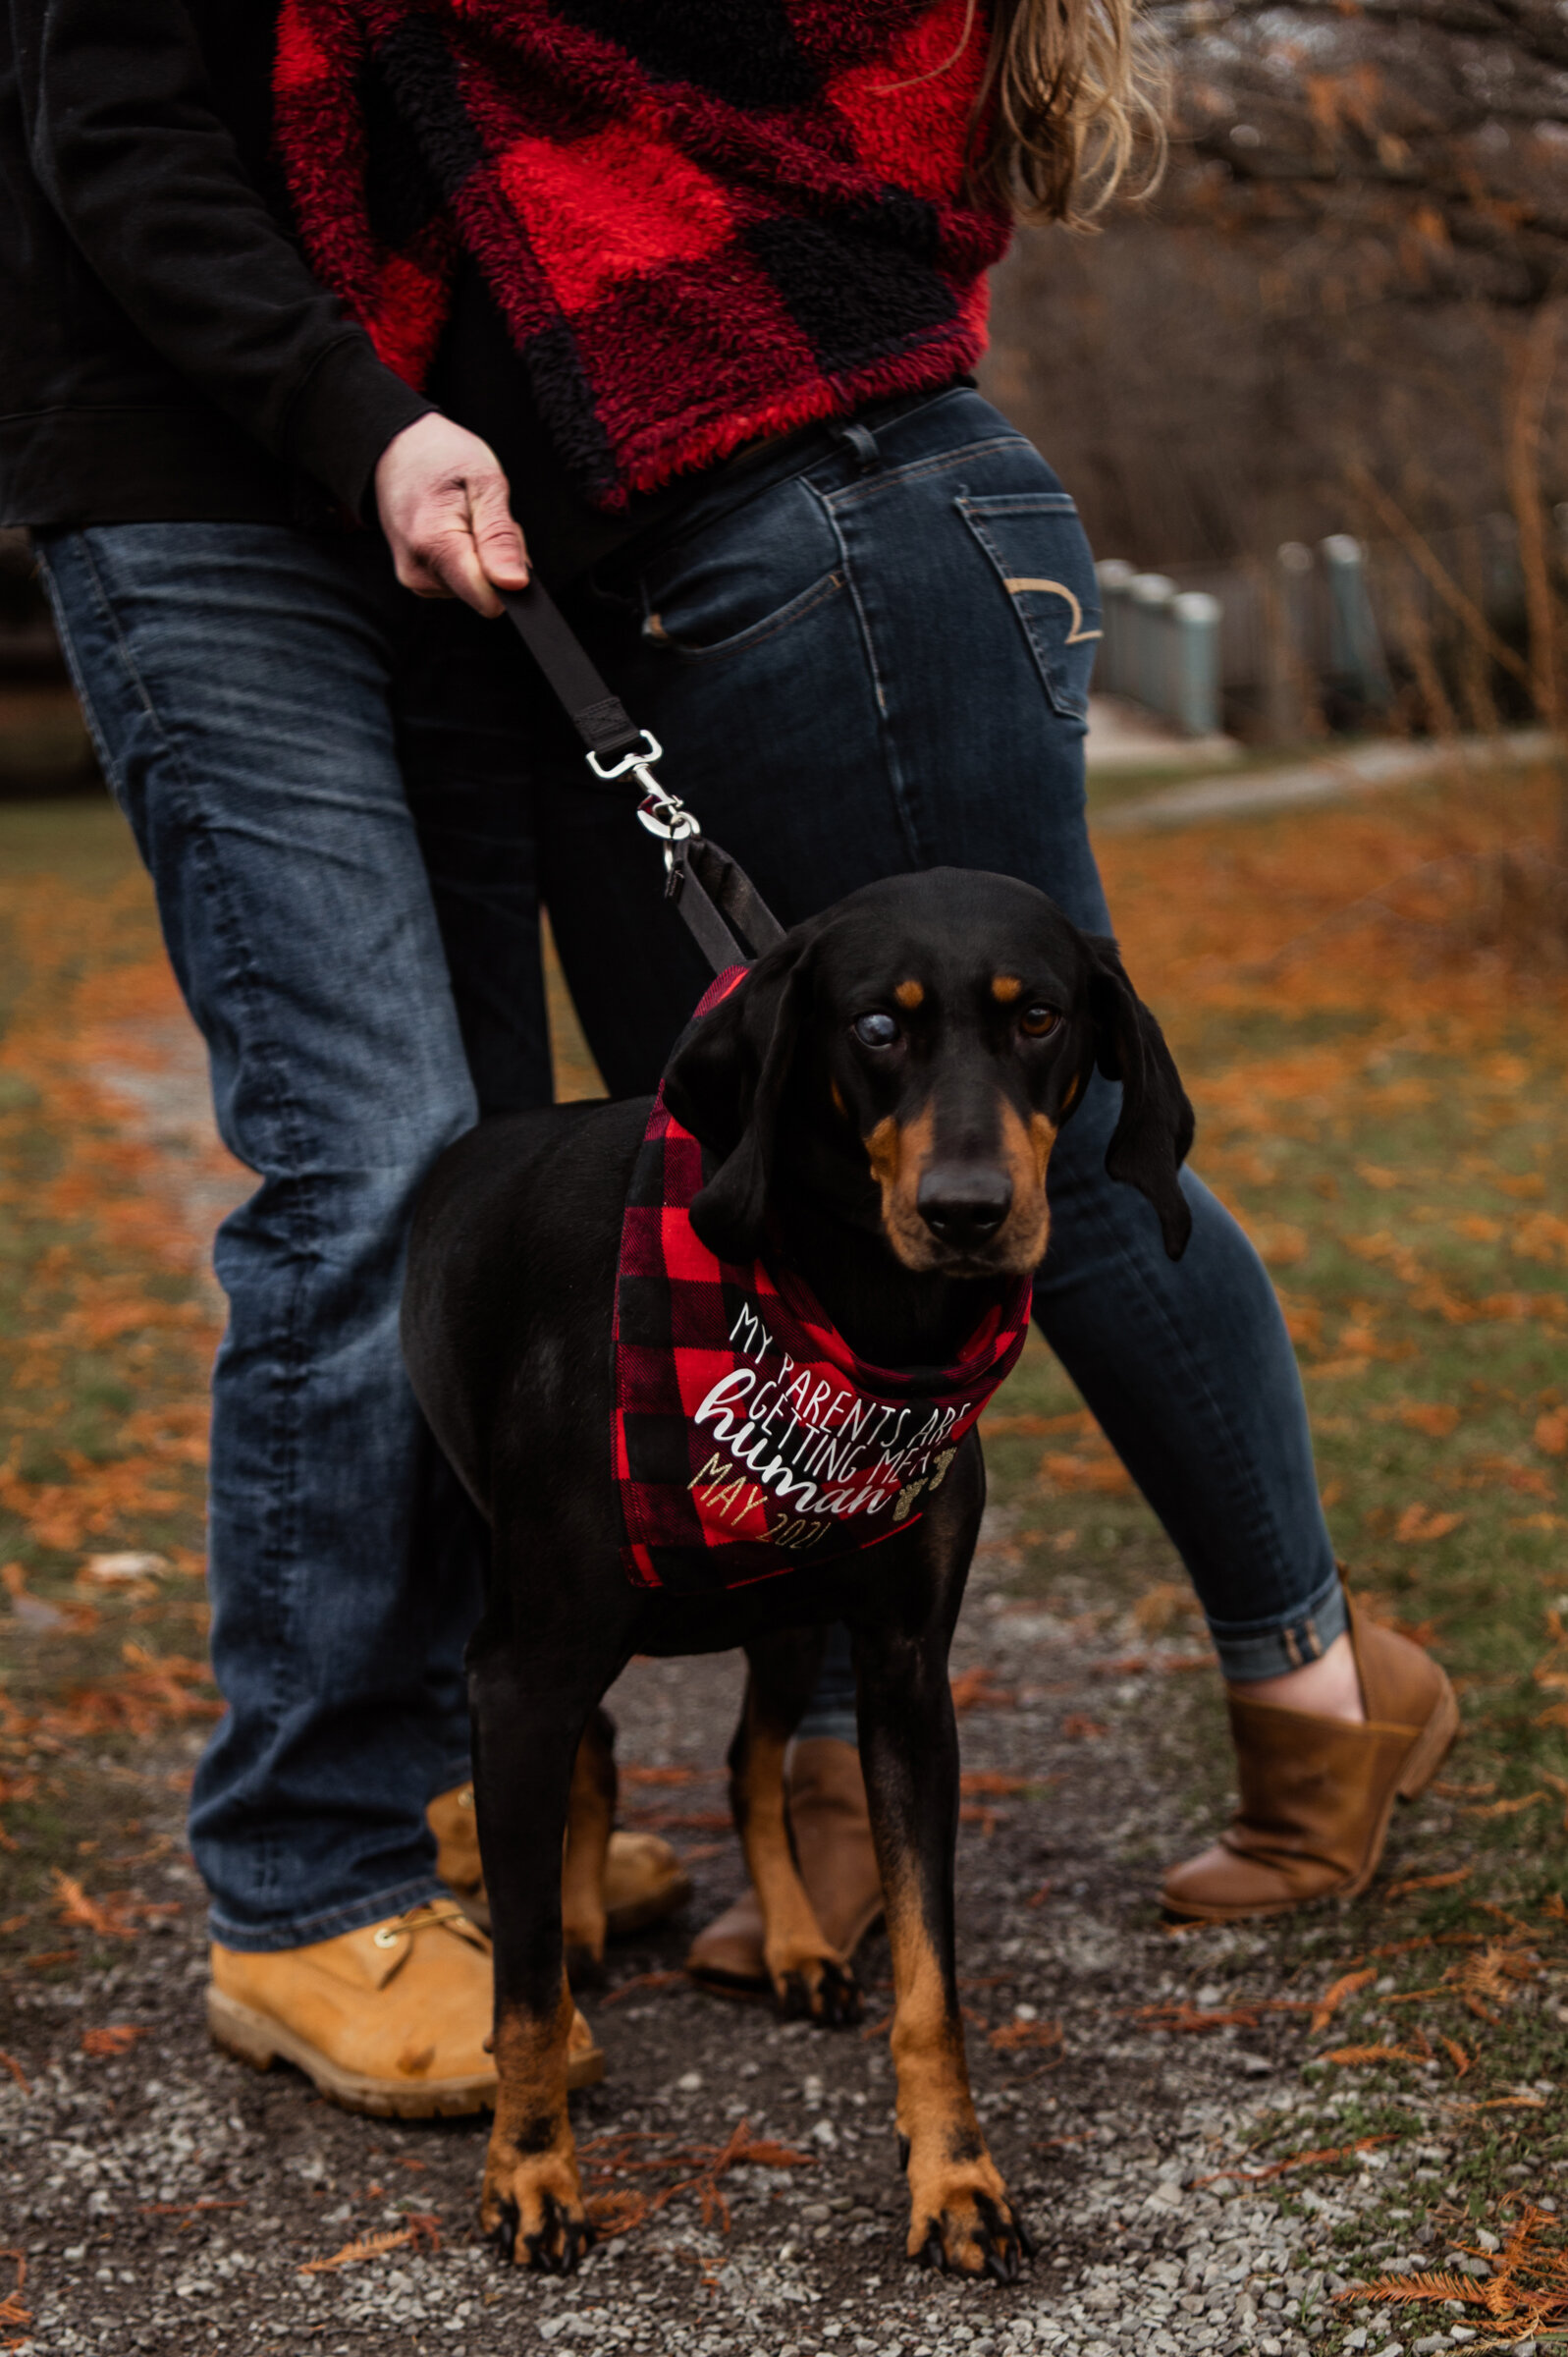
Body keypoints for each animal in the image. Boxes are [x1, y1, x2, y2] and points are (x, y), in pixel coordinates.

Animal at [401, 867, 1188, 2281]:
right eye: (876, 1028)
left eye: (1038, 1016)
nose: (969, 1213)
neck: (841, 1315)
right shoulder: (521, 1673)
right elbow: (525, 1981)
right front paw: (529, 2170)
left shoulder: (906, 1675)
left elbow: (930, 1978)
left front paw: (955, 2175)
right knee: (595, 1761)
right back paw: (592, 1923)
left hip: (783, 1624)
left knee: (744, 1767)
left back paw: (795, 1942)